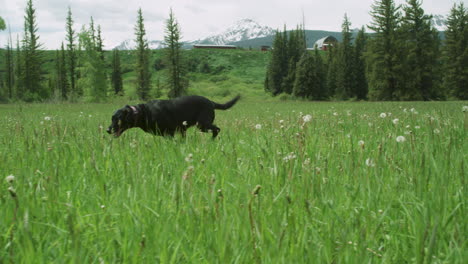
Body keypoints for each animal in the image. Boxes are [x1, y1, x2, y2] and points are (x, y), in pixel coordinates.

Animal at [104, 95, 239, 138]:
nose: (108, 130)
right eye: (112, 118)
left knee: (217, 129)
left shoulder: (169, 133)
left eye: (118, 119)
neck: (144, 113)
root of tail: (211, 102)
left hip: (202, 124)